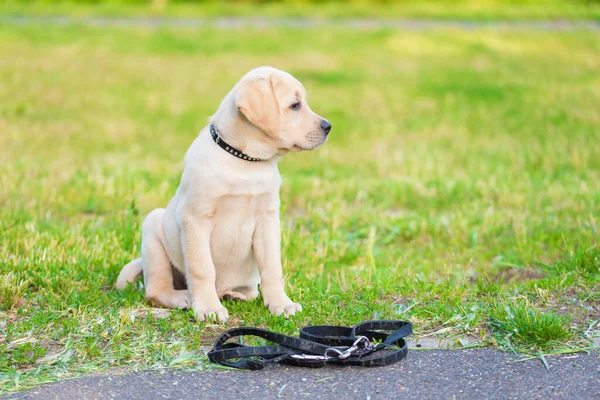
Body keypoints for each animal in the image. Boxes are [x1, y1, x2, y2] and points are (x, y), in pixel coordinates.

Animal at [115, 65, 330, 322]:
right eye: (295, 105)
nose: (328, 126)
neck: (244, 160)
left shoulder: (267, 221)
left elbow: (271, 268)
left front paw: (281, 303)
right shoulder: (195, 219)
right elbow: (202, 268)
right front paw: (209, 308)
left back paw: (233, 294)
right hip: (153, 229)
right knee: (156, 290)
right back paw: (183, 297)